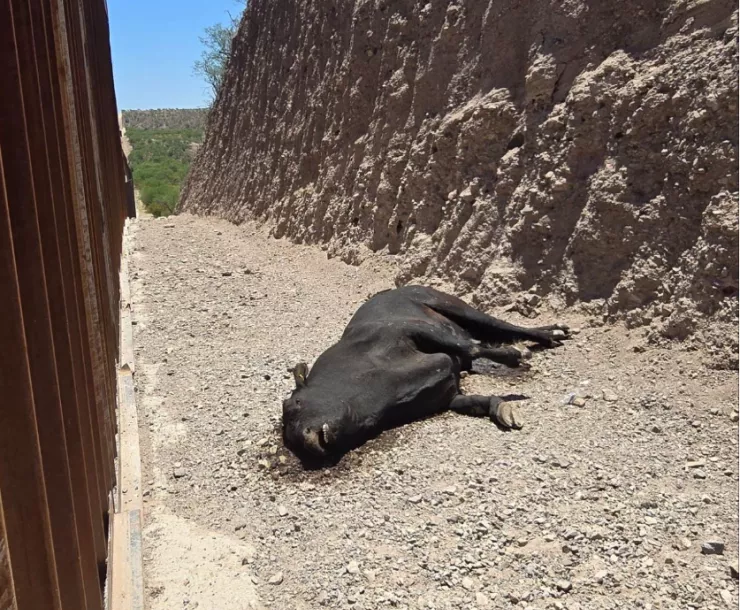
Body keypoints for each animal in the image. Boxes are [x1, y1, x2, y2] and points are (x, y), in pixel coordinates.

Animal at [282, 285, 571, 465]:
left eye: (294, 404)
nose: (310, 443)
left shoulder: (409, 330)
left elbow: (471, 347)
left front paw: (516, 356)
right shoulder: (449, 397)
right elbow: (477, 400)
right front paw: (503, 411)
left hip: (453, 306)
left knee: (504, 326)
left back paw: (551, 333)